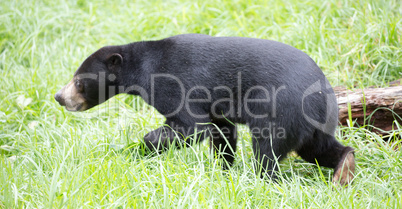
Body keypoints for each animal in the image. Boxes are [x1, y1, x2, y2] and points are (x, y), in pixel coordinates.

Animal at [55, 34, 354, 185]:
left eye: (79, 81)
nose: (59, 97)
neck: (142, 70)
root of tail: (323, 94)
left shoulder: (175, 85)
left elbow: (191, 127)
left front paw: (141, 148)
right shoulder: (217, 104)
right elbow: (222, 131)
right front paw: (222, 169)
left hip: (279, 109)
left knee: (268, 149)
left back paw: (262, 180)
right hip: (311, 124)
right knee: (319, 149)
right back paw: (344, 169)